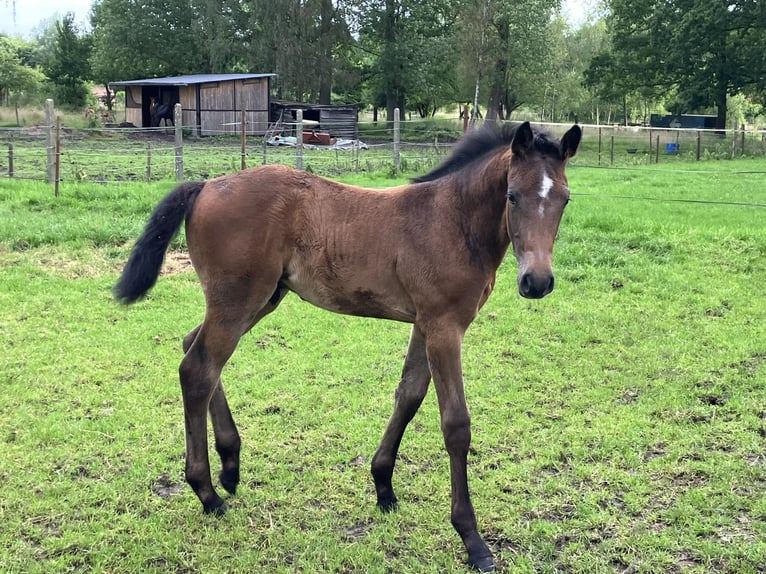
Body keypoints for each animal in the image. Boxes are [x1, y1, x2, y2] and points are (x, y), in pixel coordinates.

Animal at [114, 121, 584, 572]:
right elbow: (456, 425)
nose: (537, 282)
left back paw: (230, 465)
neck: (454, 220)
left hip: (260, 299)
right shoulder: (445, 326)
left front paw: (383, 486)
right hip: (238, 301)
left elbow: (408, 396)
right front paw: (473, 540)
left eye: (565, 199)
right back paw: (207, 491)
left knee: (194, 350)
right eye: (512, 196)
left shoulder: (424, 324)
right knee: (197, 370)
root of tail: (208, 185)